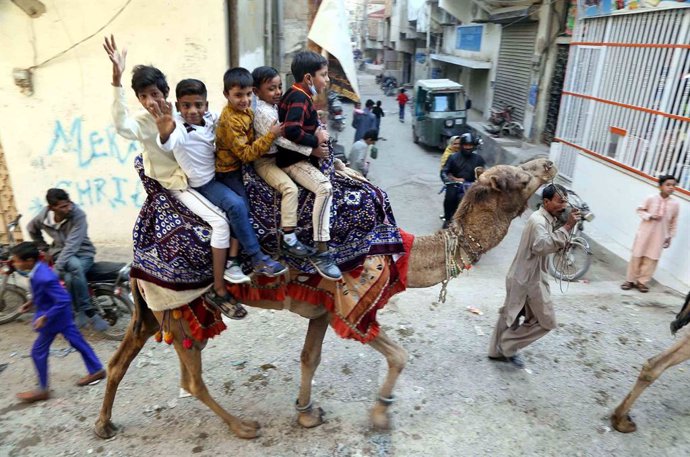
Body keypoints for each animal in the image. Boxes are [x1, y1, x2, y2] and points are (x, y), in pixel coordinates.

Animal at [95, 157, 560, 438]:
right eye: (521, 178)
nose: (549, 163)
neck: (404, 252)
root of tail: (136, 258)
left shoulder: (322, 307)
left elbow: (309, 358)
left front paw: (305, 412)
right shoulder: (354, 299)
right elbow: (398, 355)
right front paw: (380, 415)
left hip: (153, 308)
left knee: (120, 360)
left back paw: (104, 425)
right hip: (179, 306)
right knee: (191, 379)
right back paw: (243, 426)